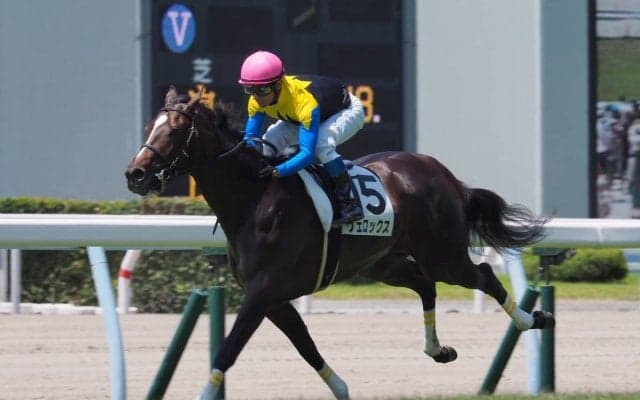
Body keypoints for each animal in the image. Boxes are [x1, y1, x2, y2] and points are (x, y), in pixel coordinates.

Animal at [125, 86, 554, 400]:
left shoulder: (262, 292)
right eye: (147, 127)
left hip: (442, 253)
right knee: (425, 284)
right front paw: (342, 388)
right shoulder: (272, 297)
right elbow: (305, 345)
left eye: (175, 131)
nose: (135, 174)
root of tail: (443, 173)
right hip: (384, 262)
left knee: (481, 275)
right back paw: (439, 349)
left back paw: (534, 318)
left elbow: (228, 350)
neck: (254, 199)